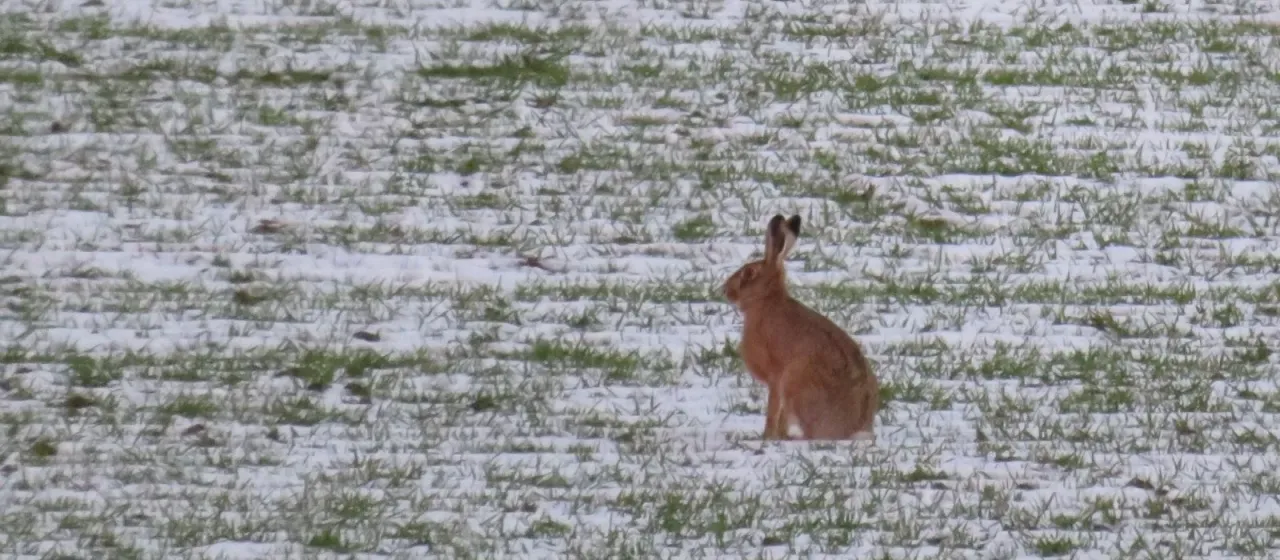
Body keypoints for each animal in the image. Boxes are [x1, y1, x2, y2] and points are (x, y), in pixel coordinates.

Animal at [721, 214, 878, 441]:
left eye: (749, 272)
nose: (725, 290)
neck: (766, 300)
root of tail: (854, 430)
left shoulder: (776, 378)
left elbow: (773, 409)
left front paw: (768, 436)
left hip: (796, 380)